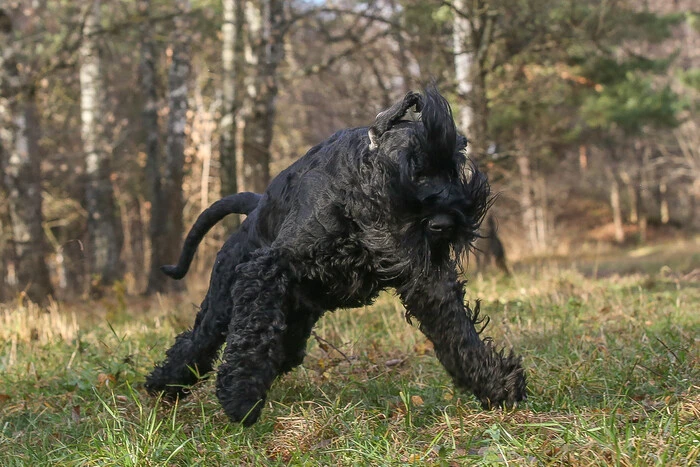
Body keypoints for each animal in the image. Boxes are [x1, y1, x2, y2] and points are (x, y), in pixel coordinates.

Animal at [146, 87, 524, 424]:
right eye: (413, 168)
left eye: (455, 169)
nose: (444, 223)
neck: (364, 192)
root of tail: (253, 208)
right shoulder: (268, 267)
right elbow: (252, 331)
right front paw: (240, 394)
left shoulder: (428, 281)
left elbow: (457, 331)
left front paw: (496, 382)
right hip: (222, 302)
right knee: (196, 342)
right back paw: (162, 385)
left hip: (297, 319)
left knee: (280, 349)